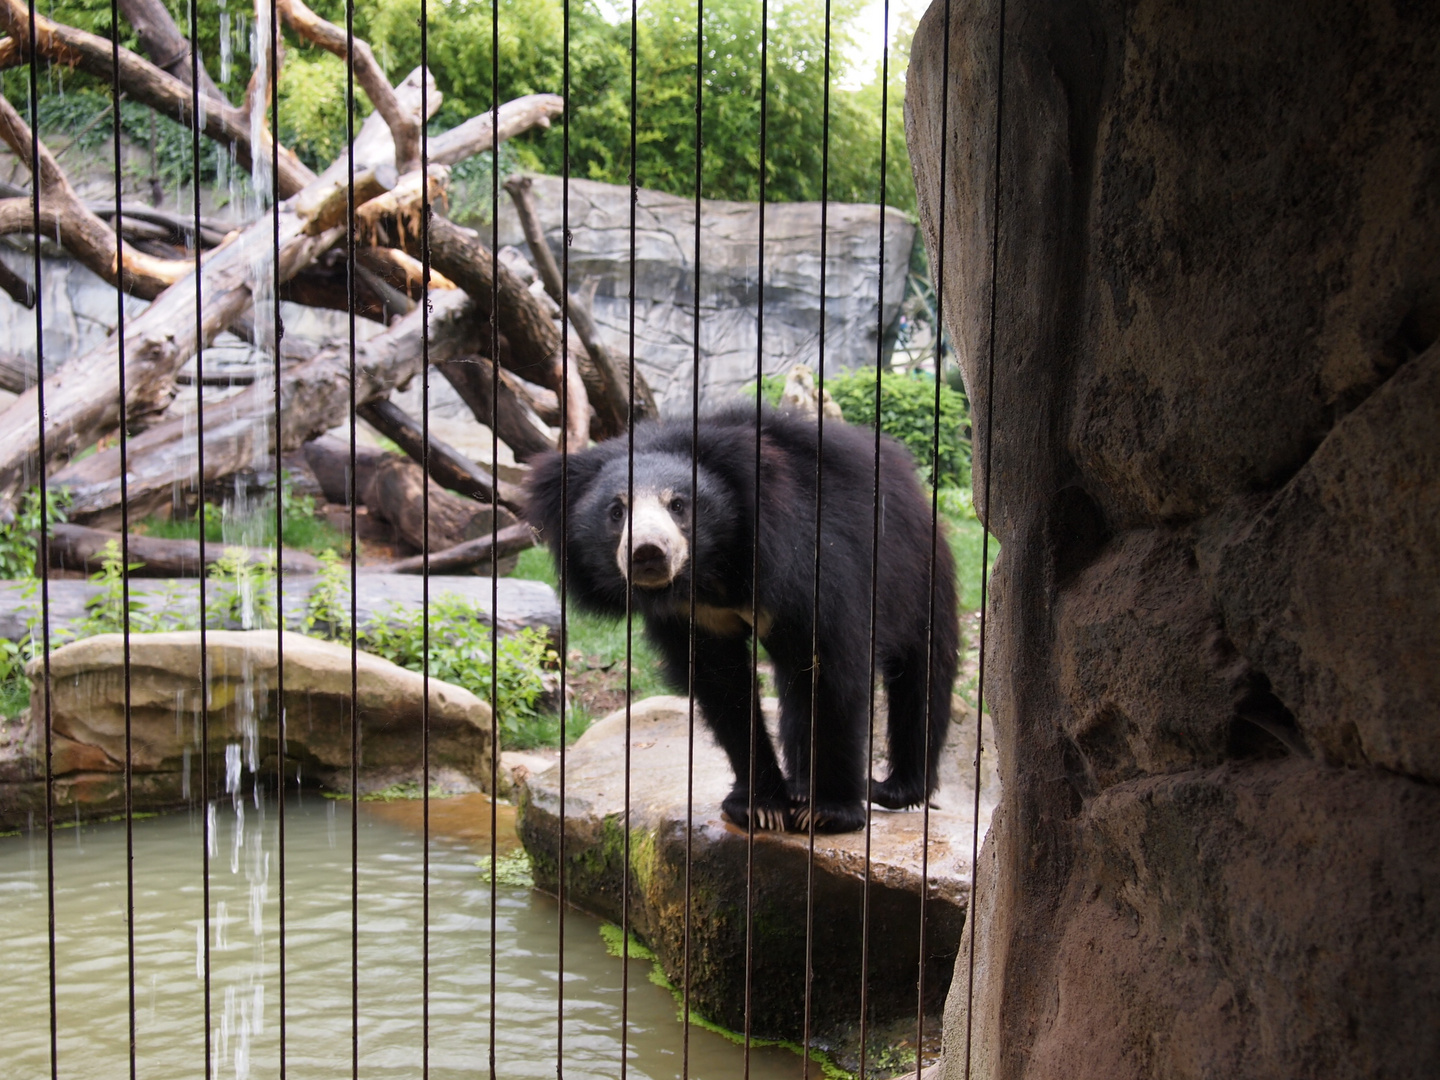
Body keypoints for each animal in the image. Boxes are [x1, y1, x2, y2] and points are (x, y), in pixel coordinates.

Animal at [527, 406, 956, 835]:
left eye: (678, 505)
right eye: (617, 511)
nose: (648, 552)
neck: (712, 573)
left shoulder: (808, 563)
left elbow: (832, 672)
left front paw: (829, 811)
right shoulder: (693, 615)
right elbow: (724, 688)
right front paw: (760, 806)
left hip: (914, 572)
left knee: (922, 673)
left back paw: (892, 788)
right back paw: (800, 786)